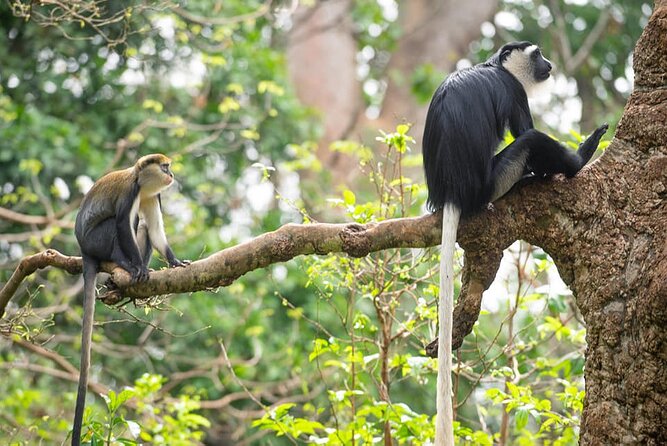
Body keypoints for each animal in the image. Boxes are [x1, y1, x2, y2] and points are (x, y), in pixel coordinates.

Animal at [71, 154, 187, 445]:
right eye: (165, 167)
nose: (171, 175)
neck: (142, 184)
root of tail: (83, 249)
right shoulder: (130, 192)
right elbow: (124, 224)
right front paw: (135, 266)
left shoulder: (153, 197)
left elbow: (154, 229)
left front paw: (174, 262)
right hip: (96, 241)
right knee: (120, 224)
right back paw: (125, 263)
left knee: (143, 226)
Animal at [421, 42, 608, 446]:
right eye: (537, 55)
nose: (550, 64)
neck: (495, 66)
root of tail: (453, 194)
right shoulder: (513, 91)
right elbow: (526, 130)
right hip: (496, 179)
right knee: (530, 142)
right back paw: (575, 161)